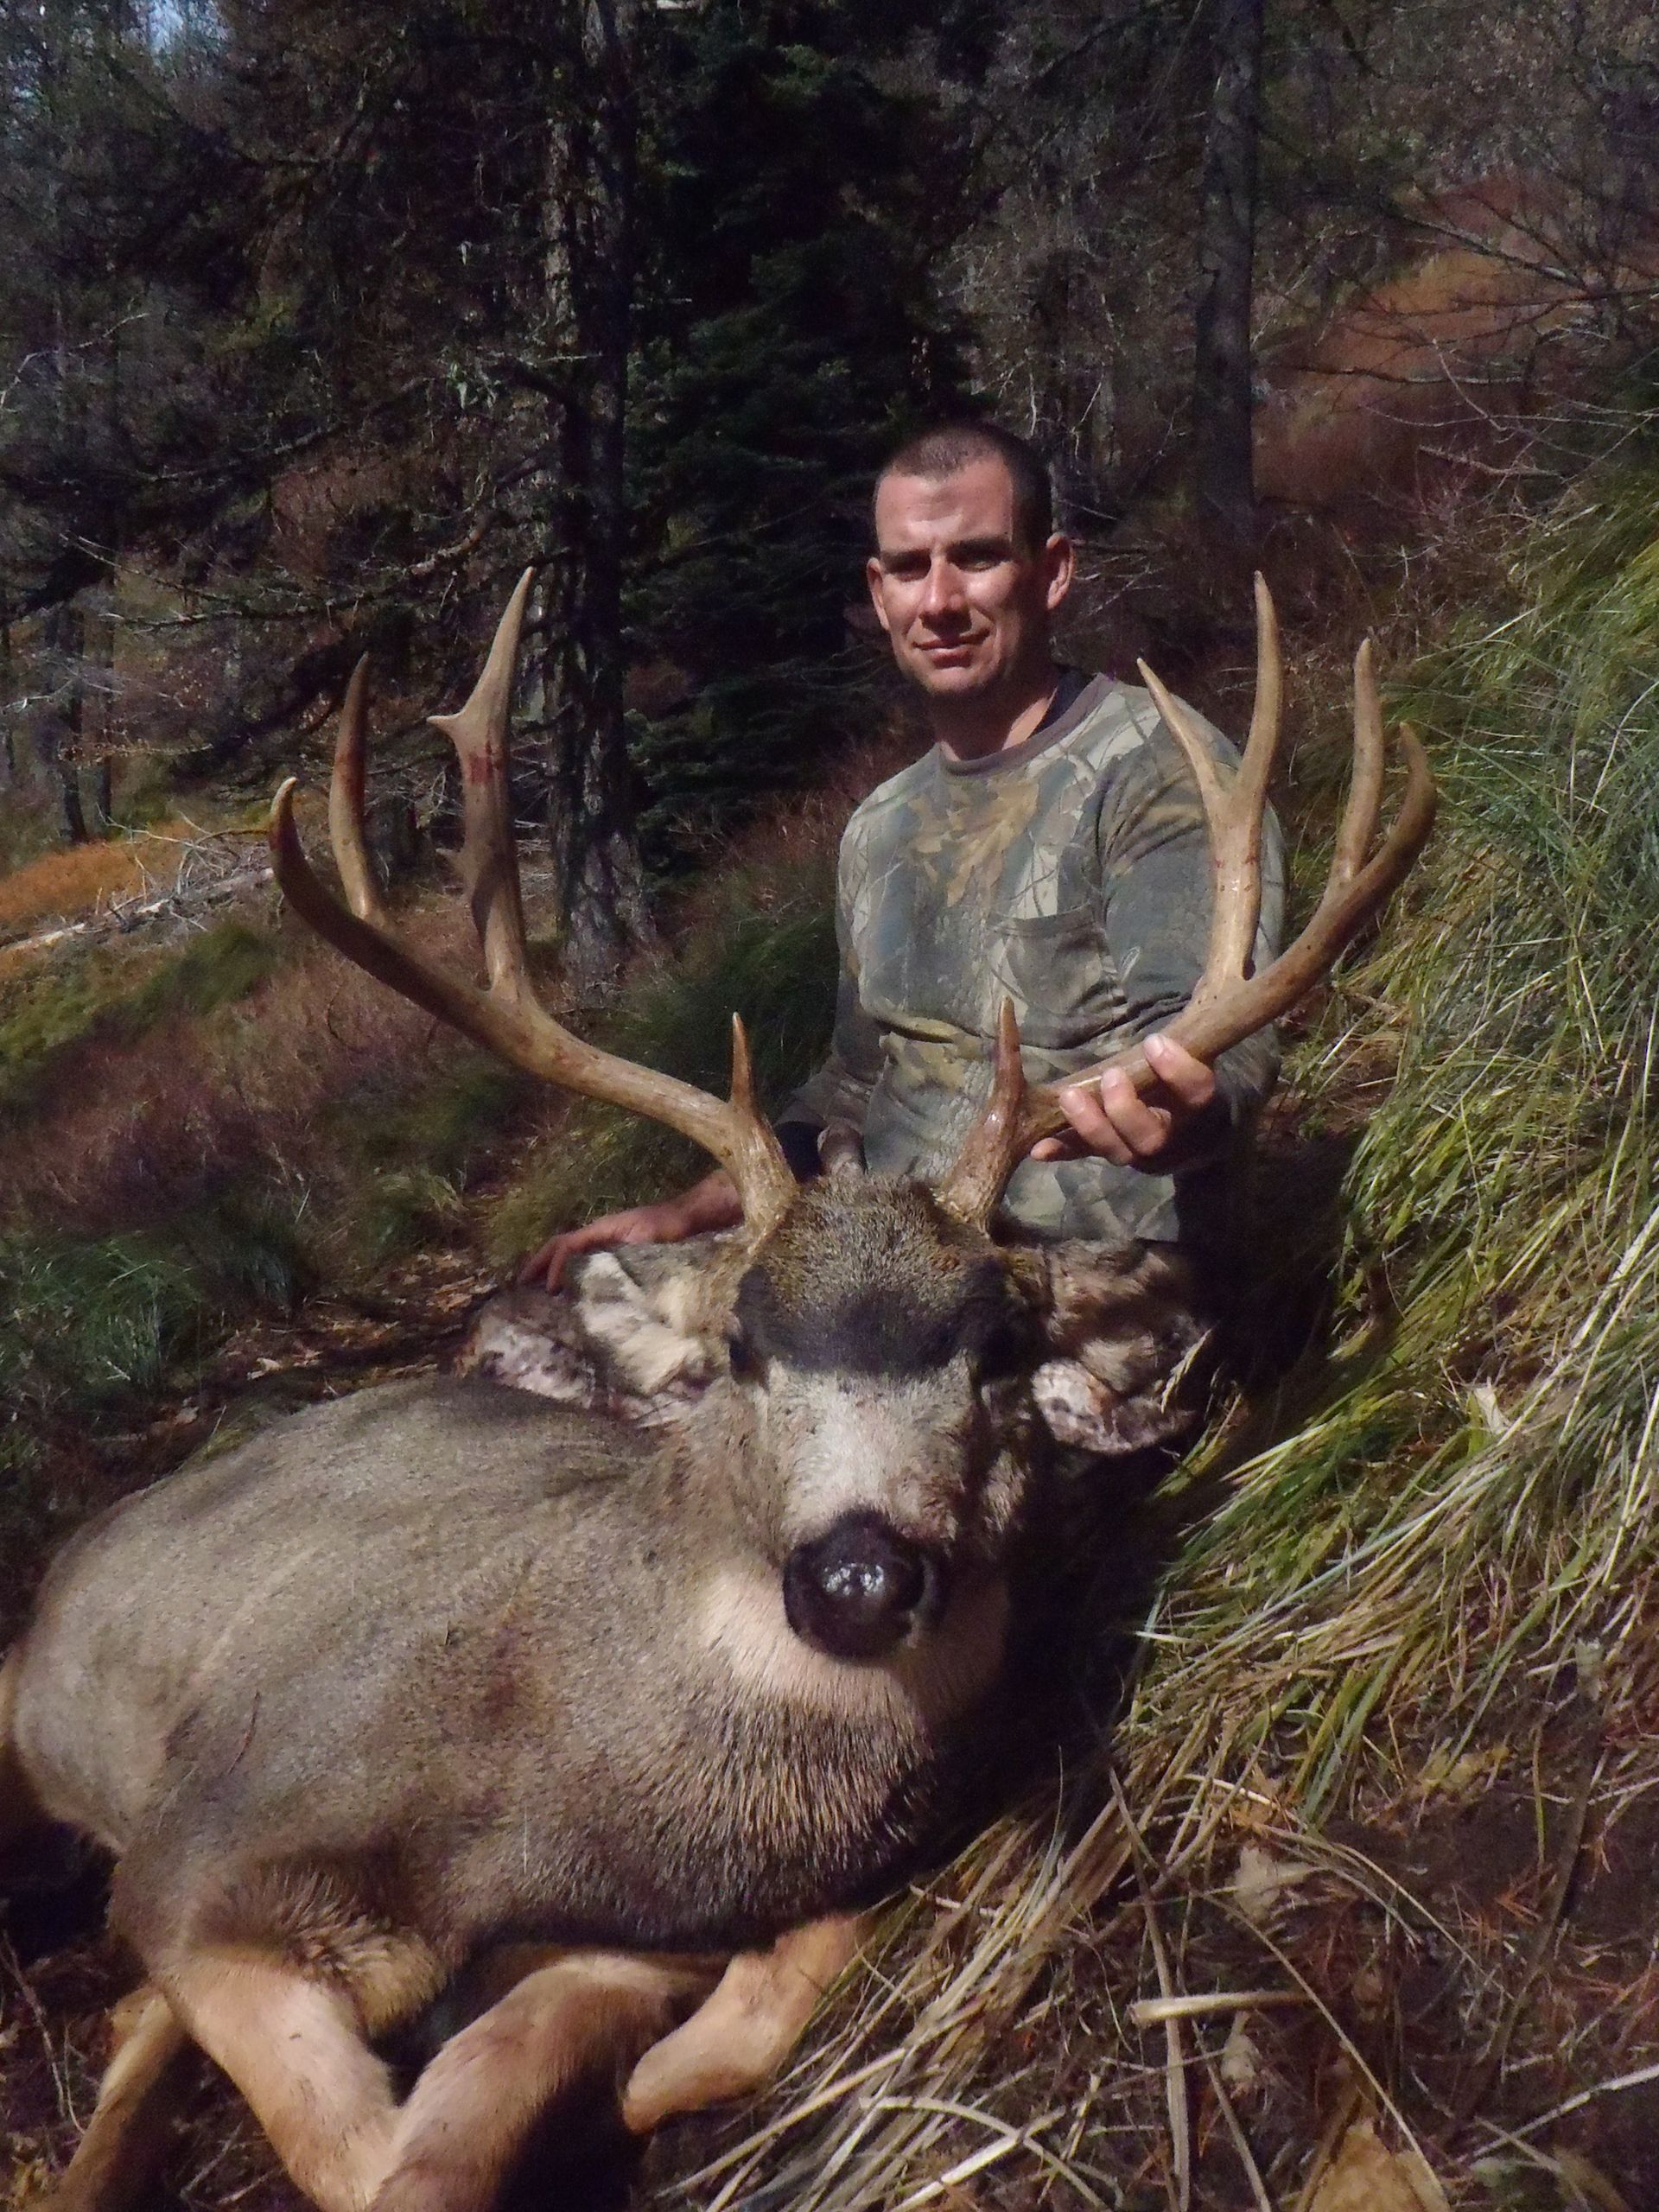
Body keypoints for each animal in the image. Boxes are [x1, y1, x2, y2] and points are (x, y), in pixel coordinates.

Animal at [0, 570, 1433, 2212]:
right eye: (744, 1347)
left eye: (1002, 1348)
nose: (860, 1576)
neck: (555, 1802)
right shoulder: (210, 1841)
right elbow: (368, 2157)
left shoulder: (632, 1942)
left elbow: (550, 2083)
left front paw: (619, 2089)